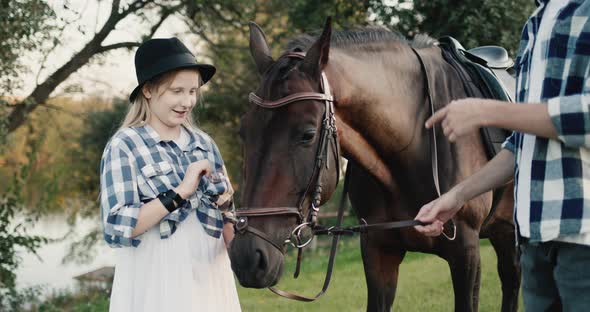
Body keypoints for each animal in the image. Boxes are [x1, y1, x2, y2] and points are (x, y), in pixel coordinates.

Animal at [229, 20, 520, 312]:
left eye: (307, 134)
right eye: (243, 132)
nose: (248, 258)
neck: (417, 142)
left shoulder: (466, 251)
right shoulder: (377, 250)